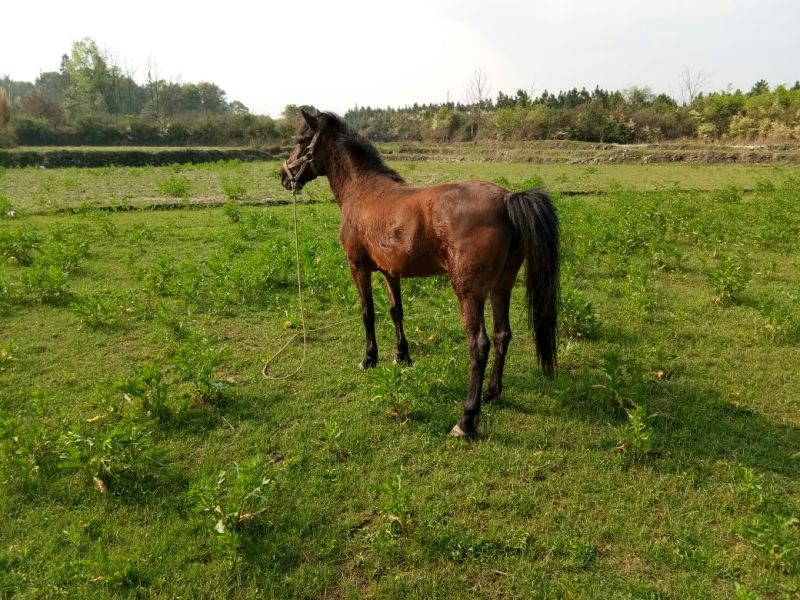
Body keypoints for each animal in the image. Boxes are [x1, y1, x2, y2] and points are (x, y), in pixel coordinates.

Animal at [280, 108, 560, 438]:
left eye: (301, 140)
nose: (284, 176)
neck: (363, 190)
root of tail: (506, 199)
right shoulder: (390, 271)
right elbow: (395, 311)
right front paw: (402, 356)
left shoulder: (358, 267)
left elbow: (368, 313)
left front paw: (369, 359)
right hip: (501, 286)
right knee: (502, 334)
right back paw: (492, 393)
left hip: (469, 292)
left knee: (479, 345)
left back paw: (466, 419)